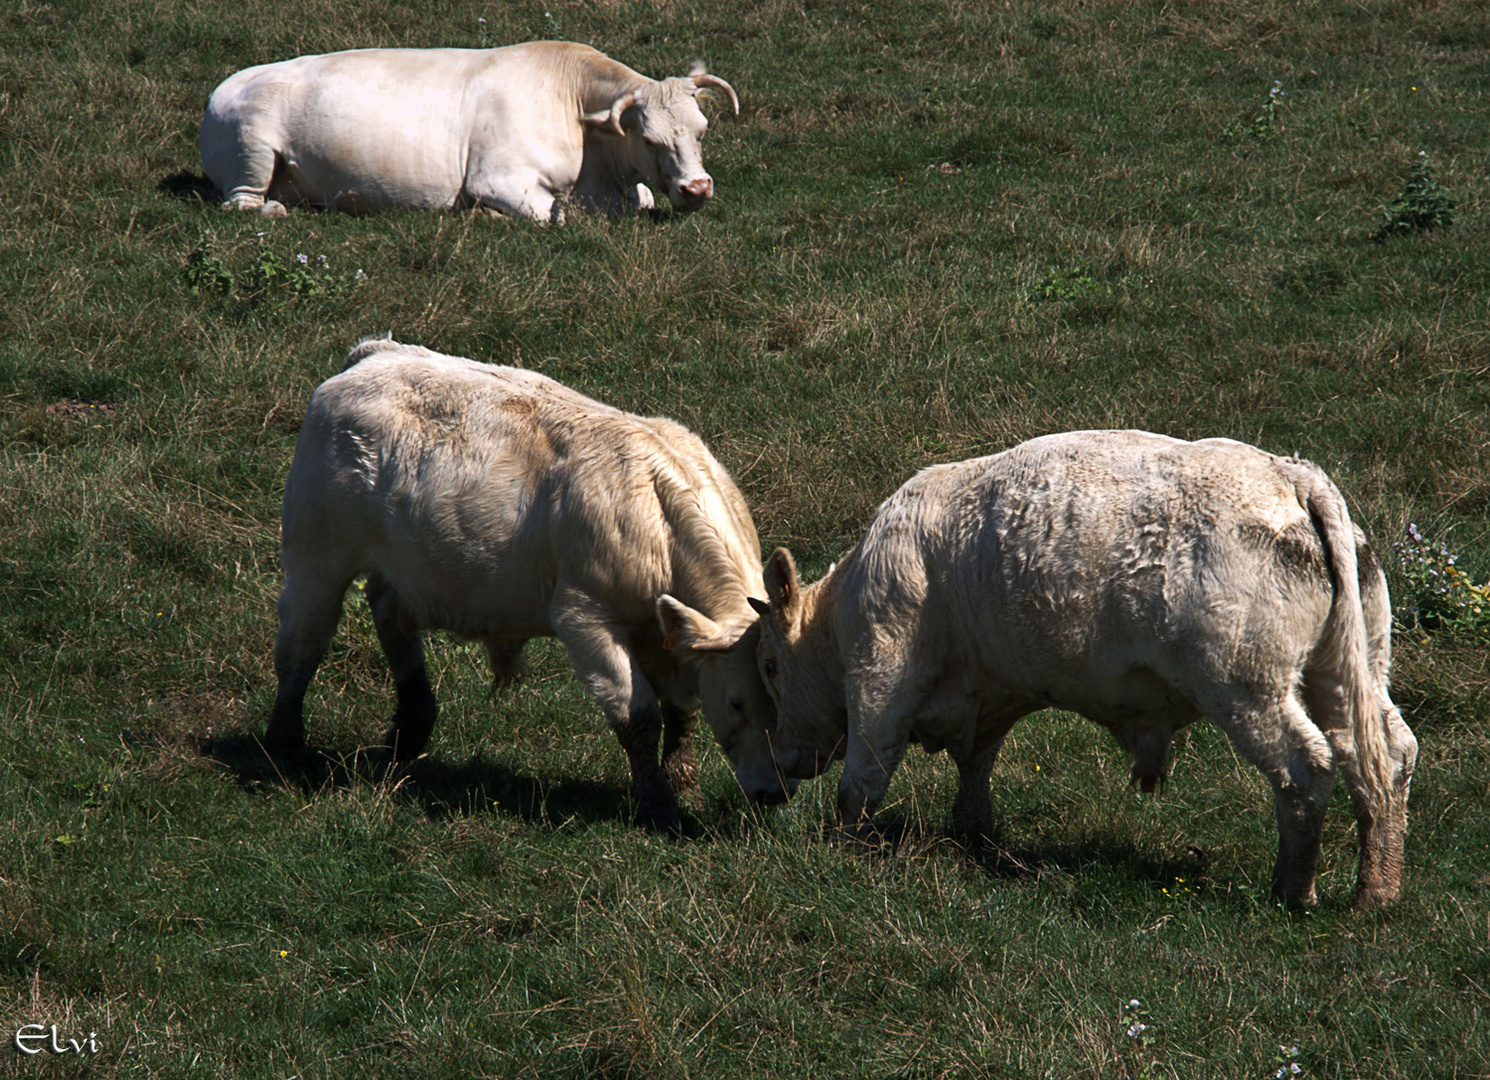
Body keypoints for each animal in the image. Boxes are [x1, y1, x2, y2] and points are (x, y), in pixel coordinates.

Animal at [202, 42, 739, 218]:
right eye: (649, 140)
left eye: (702, 130)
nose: (697, 189)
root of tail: (226, 85)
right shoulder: (497, 177)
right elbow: (554, 217)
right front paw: (484, 216)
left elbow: (642, 200)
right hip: (253, 149)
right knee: (242, 204)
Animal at [272, 341, 774, 828]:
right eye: (737, 702)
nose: (776, 789)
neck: (658, 510)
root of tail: (375, 354)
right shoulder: (585, 618)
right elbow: (639, 717)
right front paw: (659, 806)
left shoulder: (667, 636)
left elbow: (681, 710)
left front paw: (684, 784)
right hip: (317, 556)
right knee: (302, 642)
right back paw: (287, 749)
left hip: (400, 567)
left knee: (390, 617)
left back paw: (410, 731)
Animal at [745, 429, 1418, 911]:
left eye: (770, 666)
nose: (781, 763)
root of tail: (1295, 475)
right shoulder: (988, 693)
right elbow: (975, 771)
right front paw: (975, 838)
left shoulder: (882, 672)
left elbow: (862, 778)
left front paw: (846, 853)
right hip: (1349, 671)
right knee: (1385, 754)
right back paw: (1375, 890)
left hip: (1250, 688)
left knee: (1307, 767)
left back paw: (1292, 891)